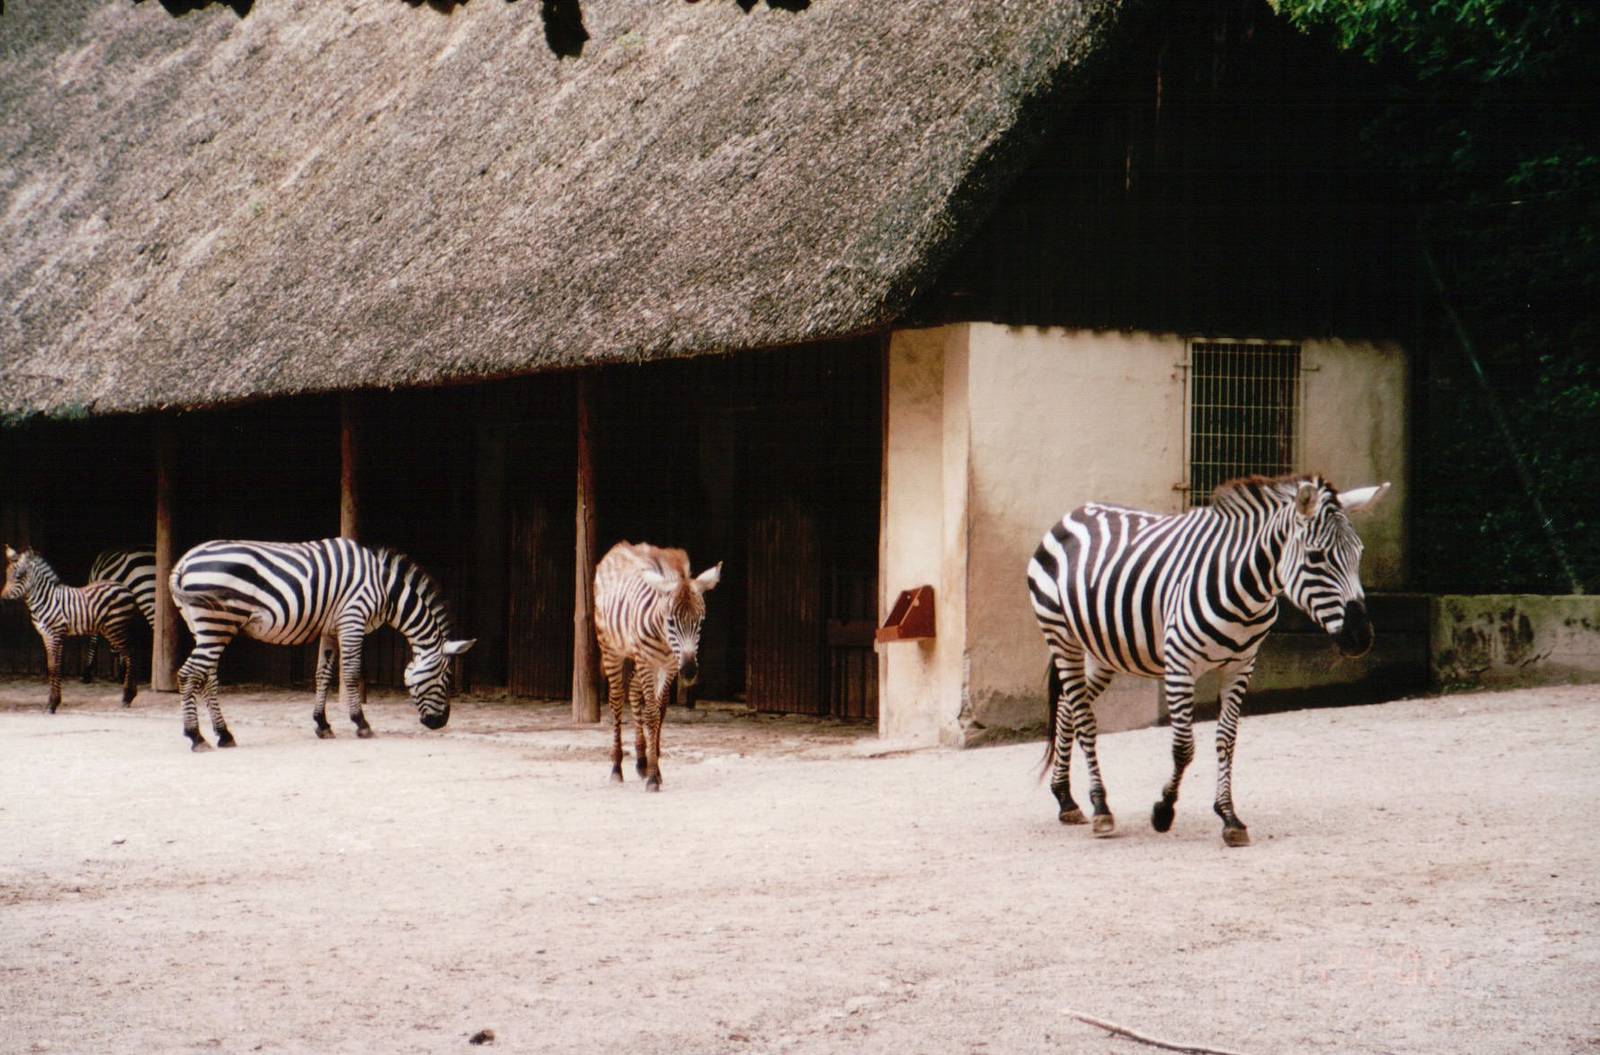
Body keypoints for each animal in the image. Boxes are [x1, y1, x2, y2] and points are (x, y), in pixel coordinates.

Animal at [2, 546, 140, 712]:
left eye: (19, 576)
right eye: (6, 575)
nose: (2, 599)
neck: (45, 600)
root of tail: (126, 589)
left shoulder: (55, 634)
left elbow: (55, 667)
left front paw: (52, 704)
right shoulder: (46, 635)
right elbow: (52, 666)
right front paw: (53, 702)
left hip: (116, 627)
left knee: (130, 654)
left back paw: (127, 697)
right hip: (112, 629)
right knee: (129, 654)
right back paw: (130, 695)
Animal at [169, 538, 475, 751]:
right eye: (446, 677)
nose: (440, 723)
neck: (387, 590)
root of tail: (184, 563)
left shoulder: (330, 628)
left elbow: (323, 675)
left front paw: (322, 724)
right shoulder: (353, 619)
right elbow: (350, 674)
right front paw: (361, 724)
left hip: (205, 627)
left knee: (207, 677)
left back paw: (224, 734)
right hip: (217, 624)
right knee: (189, 674)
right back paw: (196, 737)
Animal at [593, 541, 721, 791]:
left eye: (700, 622)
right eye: (670, 621)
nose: (689, 671)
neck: (664, 638)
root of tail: (618, 548)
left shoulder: (669, 665)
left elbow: (659, 711)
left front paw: (655, 767)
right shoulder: (647, 661)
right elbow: (651, 714)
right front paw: (653, 778)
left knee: (634, 693)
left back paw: (641, 761)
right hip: (612, 649)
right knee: (616, 700)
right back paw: (616, 767)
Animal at [1027, 474, 1389, 846]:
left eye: (1358, 554)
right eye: (1316, 557)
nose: (1362, 637)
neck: (1246, 592)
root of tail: (1074, 513)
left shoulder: (1241, 666)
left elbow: (1227, 740)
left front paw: (1229, 817)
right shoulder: (1180, 665)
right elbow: (1183, 747)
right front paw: (1163, 811)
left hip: (1103, 651)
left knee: (1068, 708)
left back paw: (1066, 799)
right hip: (1062, 637)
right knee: (1084, 719)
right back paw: (1100, 808)